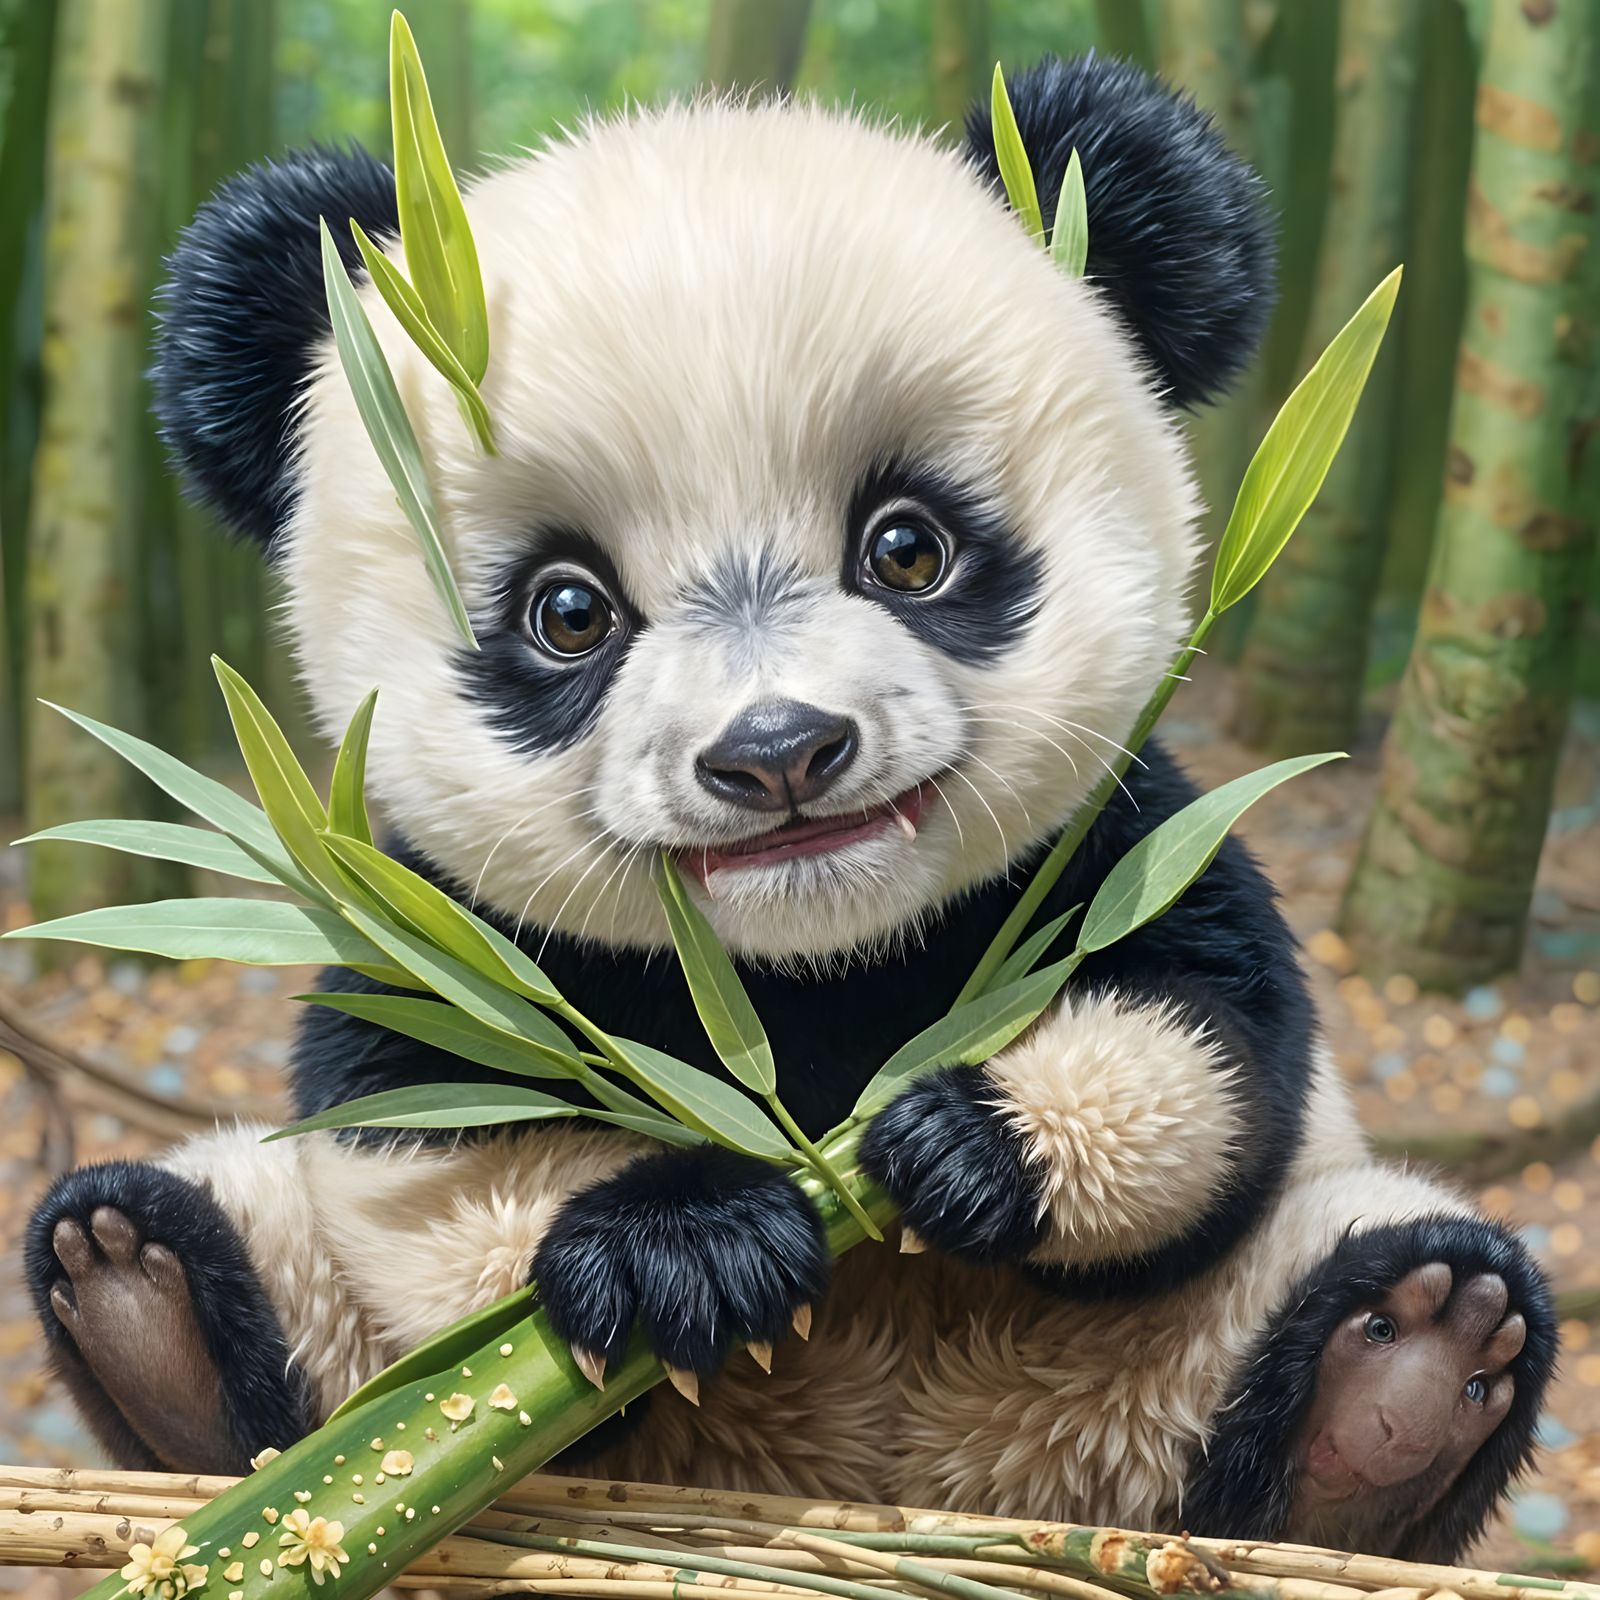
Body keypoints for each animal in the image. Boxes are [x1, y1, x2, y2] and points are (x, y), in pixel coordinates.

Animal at [25, 56, 1554, 1562]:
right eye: (567, 612)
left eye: (908, 546)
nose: (777, 752)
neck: (802, 973)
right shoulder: (449, 942)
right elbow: (427, 1137)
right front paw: (682, 1248)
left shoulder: (1123, 839)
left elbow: (1209, 1038)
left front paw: (962, 1143)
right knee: (239, 1258)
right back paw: (146, 1308)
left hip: (1162, 1373)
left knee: (1355, 1281)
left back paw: (1401, 1380)